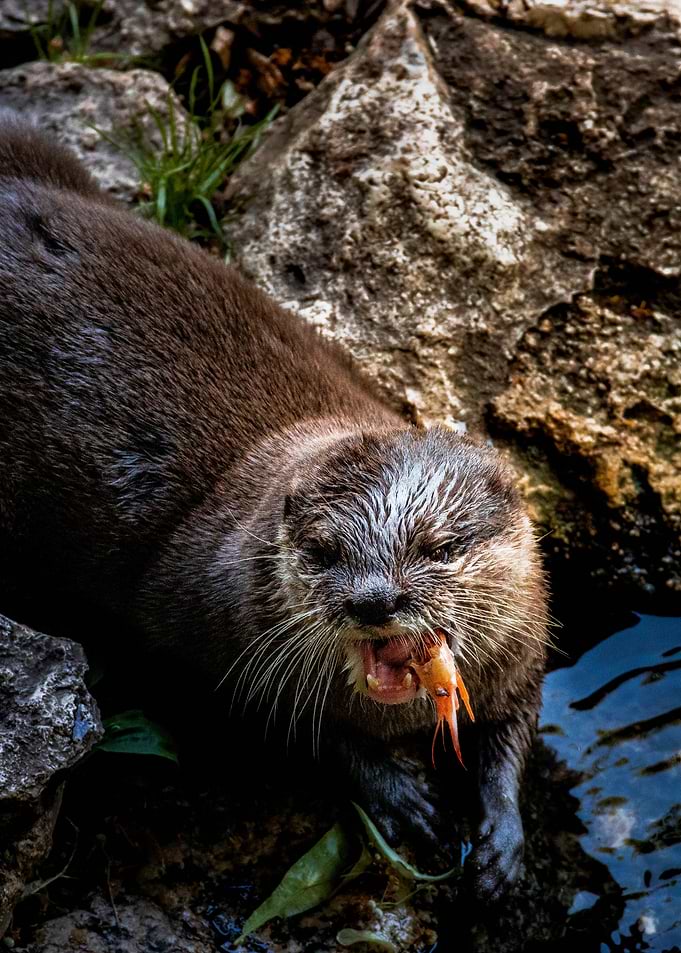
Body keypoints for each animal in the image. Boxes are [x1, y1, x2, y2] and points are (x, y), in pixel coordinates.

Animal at [0, 116, 548, 901]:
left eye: (440, 547)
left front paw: (502, 837)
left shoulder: (524, 651)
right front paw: (399, 793)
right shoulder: (219, 648)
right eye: (323, 552)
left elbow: (514, 732)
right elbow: (307, 735)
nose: (374, 601)